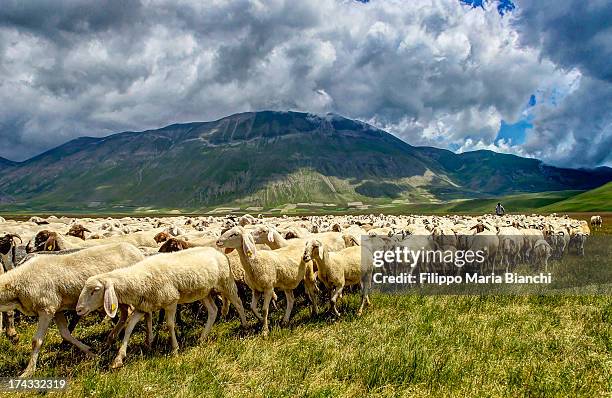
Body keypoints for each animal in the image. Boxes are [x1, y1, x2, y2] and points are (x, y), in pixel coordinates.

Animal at [0, 243, 145, 376]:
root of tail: (137, 251)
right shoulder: (56, 309)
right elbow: (66, 334)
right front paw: (90, 351)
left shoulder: (46, 309)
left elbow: (37, 341)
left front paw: (28, 371)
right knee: (125, 313)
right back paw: (110, 339)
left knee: (129, 313)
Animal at [75, 247, 247, 368]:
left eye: (95, 290)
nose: (78, 309)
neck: (139, 280)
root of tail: (216, 251)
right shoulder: (143, 307)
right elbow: (129, 327)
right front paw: (119, 358)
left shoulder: (171, 301)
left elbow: (170, 325)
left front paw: (175, 349)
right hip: (204, 292)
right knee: (213, 311)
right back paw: (202, 337)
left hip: (225, 283)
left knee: (238, 302)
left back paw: (244, 325)